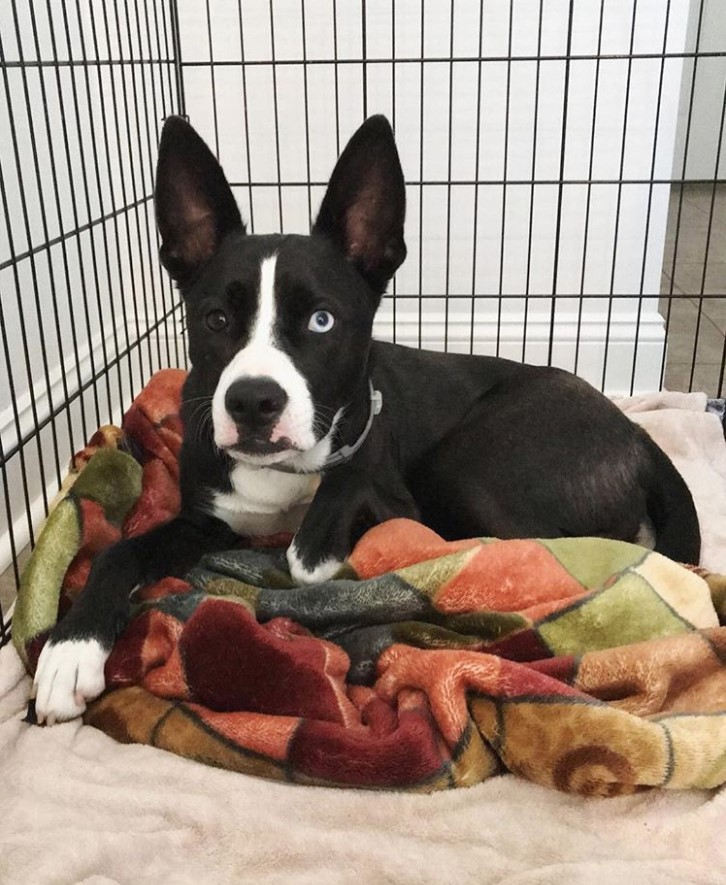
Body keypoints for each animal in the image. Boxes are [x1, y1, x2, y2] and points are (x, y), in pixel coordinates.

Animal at [31, 114, 704, 720]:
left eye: (321, 320)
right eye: (216, 319)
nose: (252, 401)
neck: (283, 477)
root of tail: (635, 431)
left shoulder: (391, 492)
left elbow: (334, 509)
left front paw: (320, 547)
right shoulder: (206, 521)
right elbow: (119, 553)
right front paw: (70, 651)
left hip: (470, 468)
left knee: (545, 556)